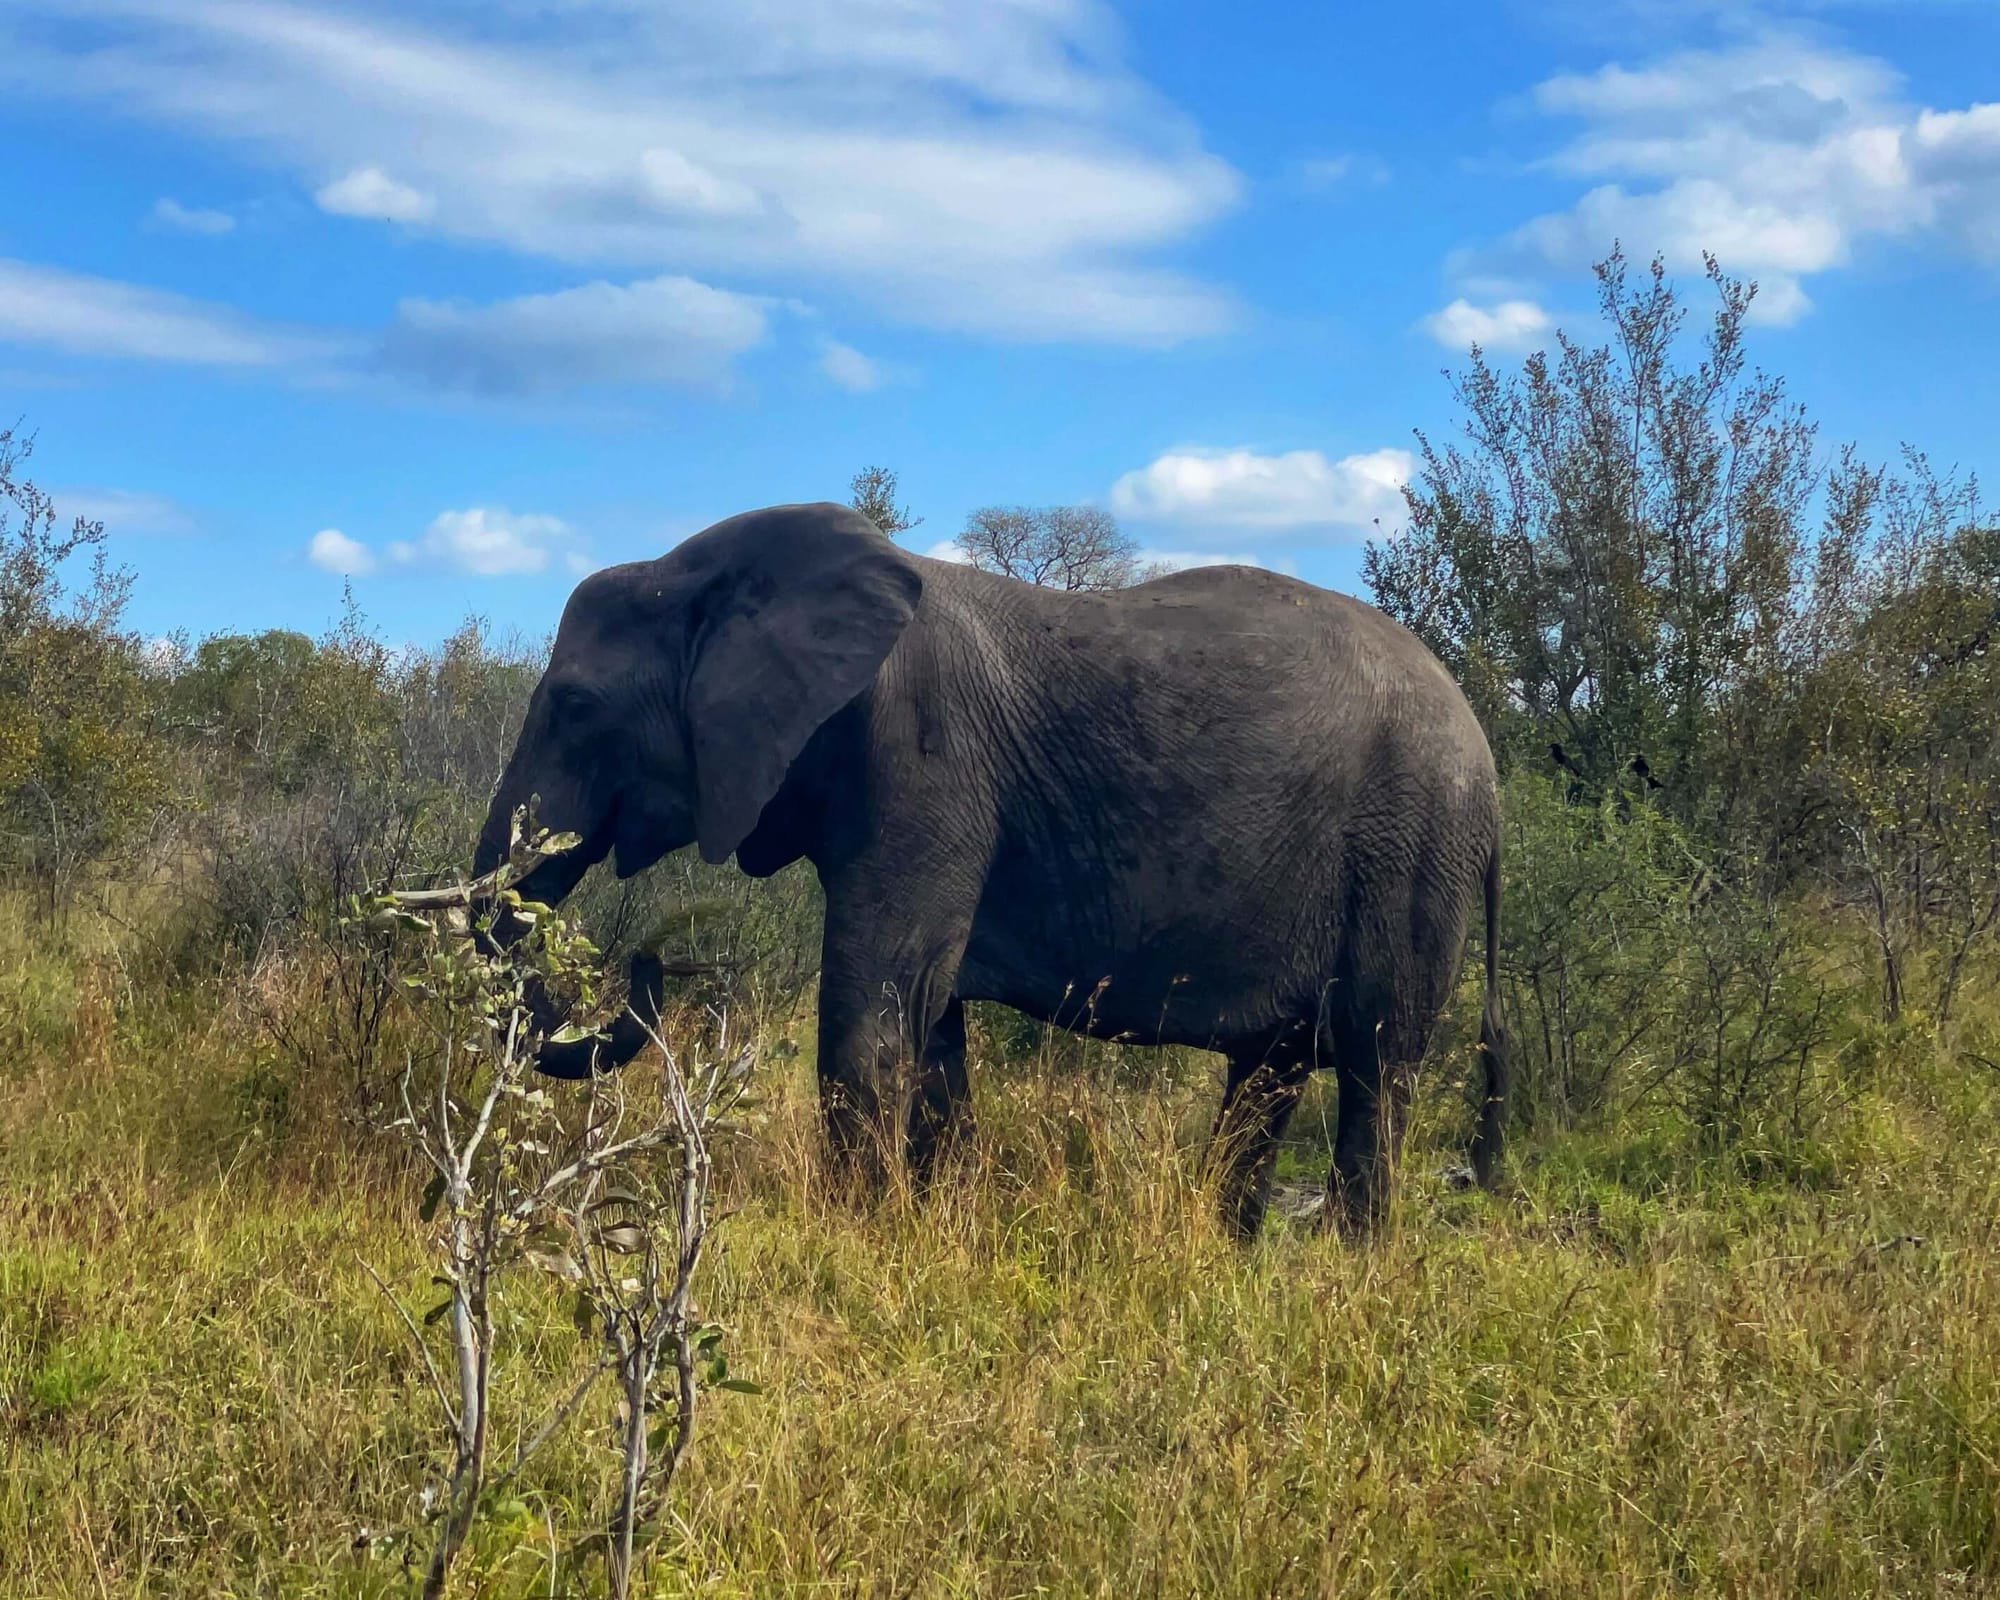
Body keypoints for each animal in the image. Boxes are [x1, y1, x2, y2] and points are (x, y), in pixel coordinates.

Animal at [476, 500, 1504, 1240]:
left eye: (575, 707)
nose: (649, 968)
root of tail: (1487, 765)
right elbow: (927, 1022)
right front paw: (940, 1229)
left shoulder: (925, 763)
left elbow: (872, 1009)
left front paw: (857, 1239)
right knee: (1269, 1074)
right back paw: (1224, 1247)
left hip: (1412, 851)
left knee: (1377, 1064)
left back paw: (1351, 1262)